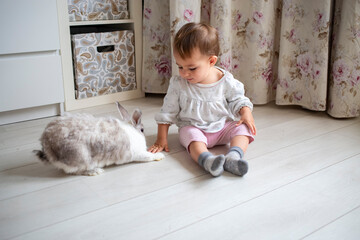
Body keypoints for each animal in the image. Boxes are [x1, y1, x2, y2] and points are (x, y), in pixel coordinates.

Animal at [33, 100, 165, 175]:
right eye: (142, 130)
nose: (143, 132)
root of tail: (47, 146)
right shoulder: (137, 154)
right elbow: (149, 156)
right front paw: (160, 156)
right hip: (81, 157)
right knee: (77, 171)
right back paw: (96, 171)